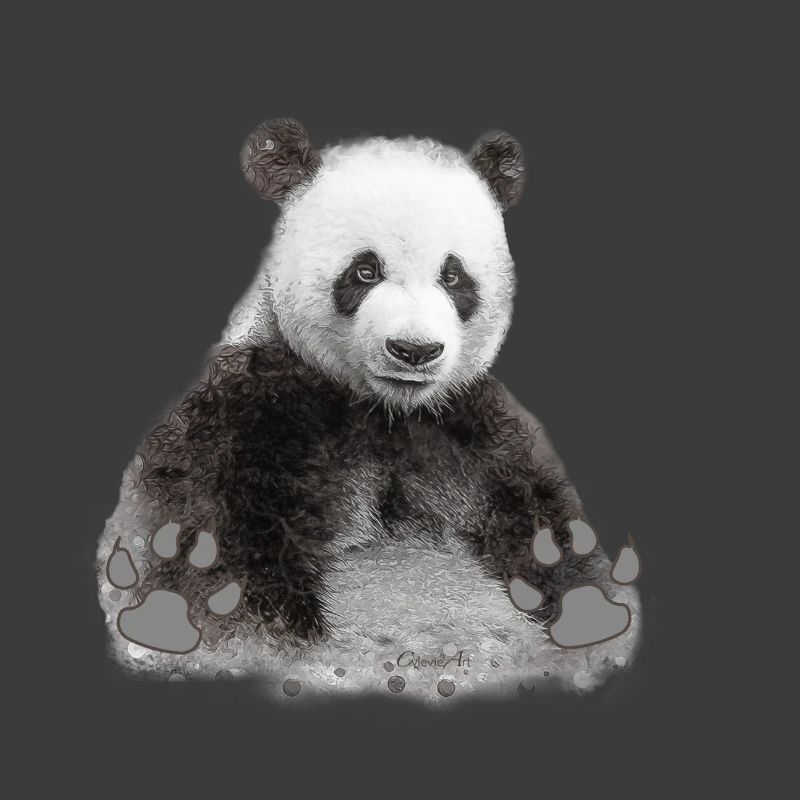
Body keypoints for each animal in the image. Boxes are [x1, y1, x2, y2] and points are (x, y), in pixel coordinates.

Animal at [97, 119, 640, 698]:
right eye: (364, 271)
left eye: (453, 276)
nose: (414, 350)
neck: (385, 411)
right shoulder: (250, 422)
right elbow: (219, 565)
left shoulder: (475, 436)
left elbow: (547, 537)